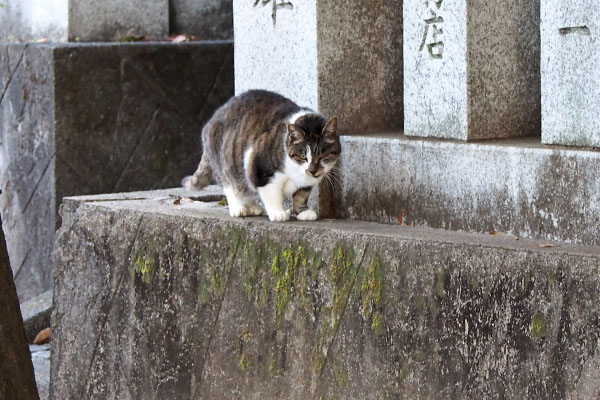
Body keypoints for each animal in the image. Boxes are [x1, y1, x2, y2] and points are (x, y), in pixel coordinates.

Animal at [180, 90, 340, 222]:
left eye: (323, 156)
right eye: (302, 157)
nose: (312, 170)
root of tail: (210, 121)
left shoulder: (306, 183)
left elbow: (302, 195)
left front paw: (302, 212)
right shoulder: (260, 168)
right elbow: (271, 194)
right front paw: (278, 213)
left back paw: (252, 207)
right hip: (227, 162)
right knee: (230, 184)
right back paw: (239, 208)